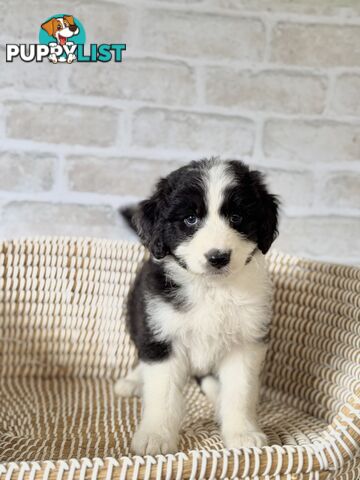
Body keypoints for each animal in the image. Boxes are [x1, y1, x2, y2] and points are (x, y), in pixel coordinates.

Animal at [114, 159, 278, 456]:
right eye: (190, 219)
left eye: (236, 217)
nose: (218, 257)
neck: (211, 289)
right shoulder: (161, 333)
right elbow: (162, 393)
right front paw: (155, 436)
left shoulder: (245, 342)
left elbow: (240, 391)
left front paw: (243, 433)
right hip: (137, 317)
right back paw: (132, 381)